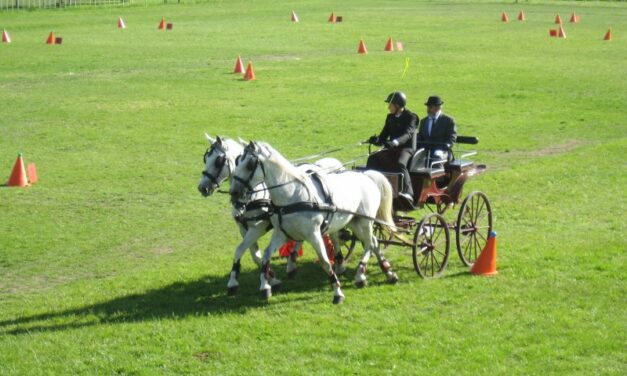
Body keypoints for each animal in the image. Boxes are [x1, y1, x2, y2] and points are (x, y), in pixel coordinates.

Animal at [196, 134, 344, 296]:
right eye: (206, 158)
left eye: (218, 161)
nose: (202, 188)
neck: (252, 195)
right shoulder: (244, 228)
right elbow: (250, 254)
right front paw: (268, 279)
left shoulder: (259, 227)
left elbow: (251, 253)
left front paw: (267, 281)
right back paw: (292, 264)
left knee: (334, 236)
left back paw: (339, 264)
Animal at [229, 142, 398, 306]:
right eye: (237, 162)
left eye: (250, 164)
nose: (234, 193)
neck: (292, 196)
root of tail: (366, 175)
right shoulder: (281, 233)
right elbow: (264, 255)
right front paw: (265, 286)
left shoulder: (313, 234)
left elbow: (325, 262)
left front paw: (337, 292)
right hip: (353, 222)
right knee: (374, 242)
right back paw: (386, 272)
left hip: (365, 221)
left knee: (369, 244)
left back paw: (361, 274)